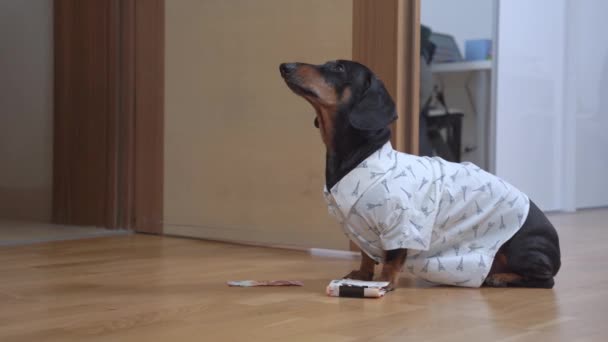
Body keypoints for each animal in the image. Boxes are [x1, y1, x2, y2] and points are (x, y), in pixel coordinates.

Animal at [280, 60, 560, 290]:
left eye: (338, 68)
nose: (285, 66)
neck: (362, 155)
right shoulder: (361, 229)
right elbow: (366, 256)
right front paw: (362, 275)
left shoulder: (400, 224)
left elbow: (392, 258)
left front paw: (385, 281)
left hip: (520, 250)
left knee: (546, 280)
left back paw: (501, 278)